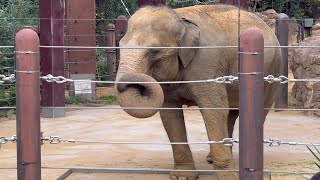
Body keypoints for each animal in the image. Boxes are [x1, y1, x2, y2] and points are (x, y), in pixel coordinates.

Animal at [114, 3, 280, 180]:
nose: (124, 85)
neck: (180, 19)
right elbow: (170, 114)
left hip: (273, 70)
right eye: (120, 46)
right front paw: (183, 176)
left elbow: (213, 110)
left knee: (256, 111)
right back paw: (211, 158)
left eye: (155, 51)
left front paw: (228, 177)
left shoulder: (207, 64)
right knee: (231, 114)